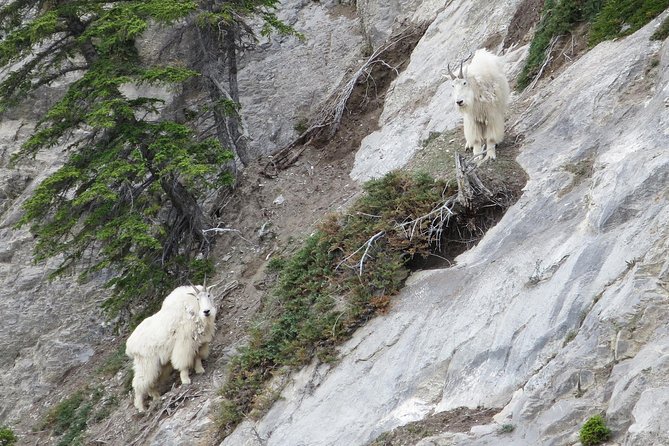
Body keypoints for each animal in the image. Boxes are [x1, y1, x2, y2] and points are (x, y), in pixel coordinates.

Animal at [125, 284, 217, 412]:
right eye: (198, 298)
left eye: (209, 295)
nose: (207, 311)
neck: (192, 309)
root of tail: (129, 346)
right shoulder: (184, 343)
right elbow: (183, 362)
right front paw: (186, 380)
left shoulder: (199, 342)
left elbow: (197, 356)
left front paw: (200, 370)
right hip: (146, 362)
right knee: (139, 383)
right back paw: (141, 407)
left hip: (158, 365)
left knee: (151, 382)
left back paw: (156, 396)